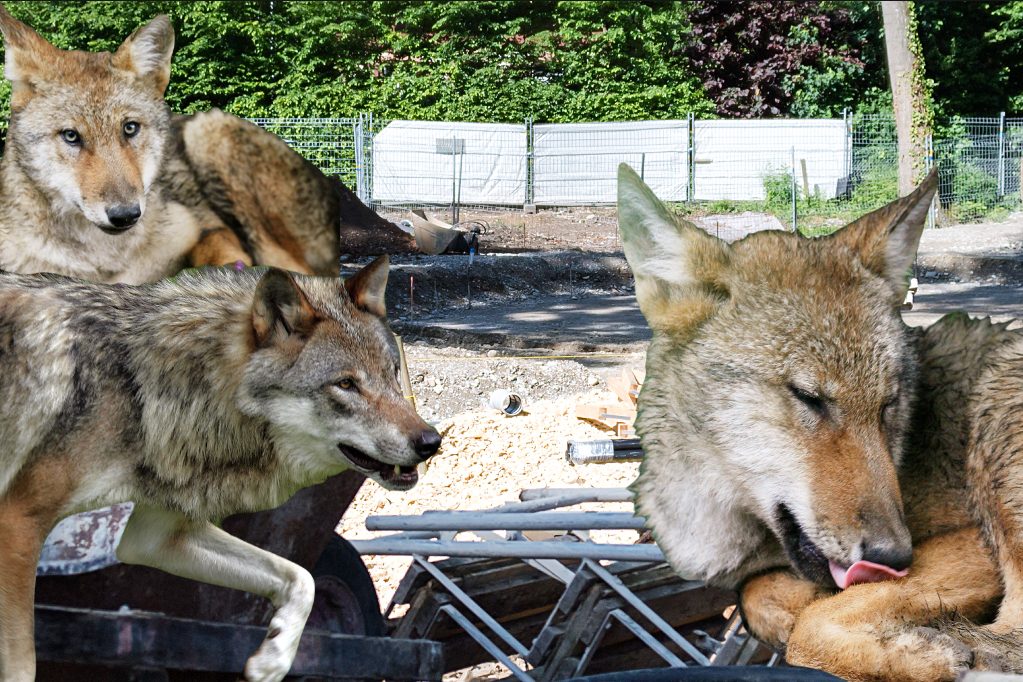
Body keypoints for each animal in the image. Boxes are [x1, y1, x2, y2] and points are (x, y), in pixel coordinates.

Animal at [0, 5, 411, 285]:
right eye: (71, 136)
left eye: (130, 129)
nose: (126, 215)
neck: (108, 261)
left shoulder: (207, 228)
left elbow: (222, 251)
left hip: (208, 133)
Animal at [0, 257, 440, 682]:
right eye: (346, 385)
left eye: (392, 374)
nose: (431, 442)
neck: (142, 388)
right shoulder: (18, 522)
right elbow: (23, 666)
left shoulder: (154, 538)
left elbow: (302, 578)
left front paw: (273, 659)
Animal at [618, 163, 1023, 680]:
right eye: (809, 397)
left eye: (888, 404)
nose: (896, 557)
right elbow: (761, 597)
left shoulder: (971, 544)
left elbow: (807, 631)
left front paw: (918, 653)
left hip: (997, 395)